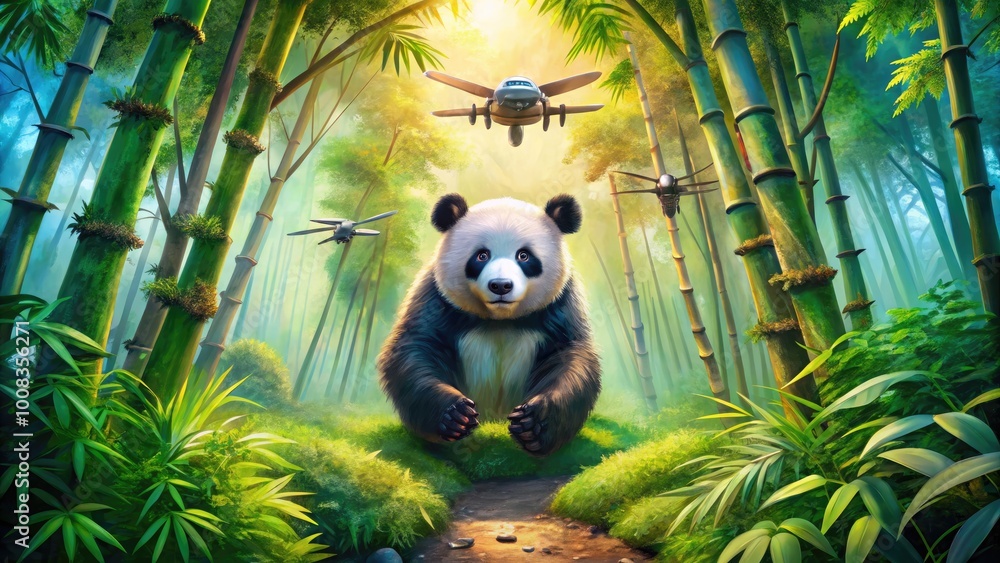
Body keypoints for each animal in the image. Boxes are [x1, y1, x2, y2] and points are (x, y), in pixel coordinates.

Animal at [377, 193, 601, 456]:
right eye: (482, 255)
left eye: (524, 255)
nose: (501, 285)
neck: (500, 321)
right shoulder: (436, 299)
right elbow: (417, 350)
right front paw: (456, 416)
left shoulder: (560, 307)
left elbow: (569, 359)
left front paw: (532, 425)